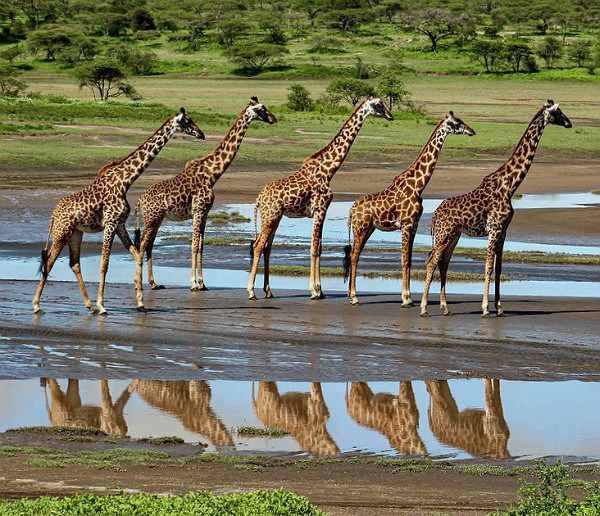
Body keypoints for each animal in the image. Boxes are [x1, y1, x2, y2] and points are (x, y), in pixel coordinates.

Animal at [32, 109, 206, 314]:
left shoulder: (120, 224)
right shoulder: (110, 223)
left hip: (76, 233)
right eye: (187, 121)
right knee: (49, 261)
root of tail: (54, 214)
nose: (201, 134)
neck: (125, 181)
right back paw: (37, 305)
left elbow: (137, 255)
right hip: (61, 232)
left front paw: (140, 302)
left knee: (74, 263)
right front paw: (102, 305)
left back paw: (89, 305)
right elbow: (104, 264)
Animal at [134, 99, 276, 308]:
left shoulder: (206, 213)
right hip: (151, 218)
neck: (212, 174)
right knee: (143, 244)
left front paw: (202, 283)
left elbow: (201, 245)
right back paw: (140, 283)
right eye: (261, 109)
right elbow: (194, 245)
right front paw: (193, 283)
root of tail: (139, 200)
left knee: (149, 244)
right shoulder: (199, 210)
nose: (274, 118)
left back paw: (153, 283)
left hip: (158, 219)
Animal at [246, 97, 392, 300]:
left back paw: (268, 290)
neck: (328, 170)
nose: (391, 116)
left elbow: (320, 248)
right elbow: (314, 248)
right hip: (270, 216)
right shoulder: (320, 209)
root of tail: (258, 199)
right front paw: (314, 291)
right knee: (259, 245)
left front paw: (320, 290)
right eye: (378, 105)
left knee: (267, 246)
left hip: (275, 217)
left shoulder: (322, 211)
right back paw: (251, 291)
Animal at [344, 112, 476, 306]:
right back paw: (354, 297)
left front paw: (408, 296)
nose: (472, 131)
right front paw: (406, 299)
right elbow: (404, 260)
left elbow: (410, 260)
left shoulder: (414, 225)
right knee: (354, 255)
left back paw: (350, 294)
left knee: (356, 254)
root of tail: (352, 210)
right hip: (360, 227)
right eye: (455, 123)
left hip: (368, 228)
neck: (418, 186)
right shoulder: (406, 224)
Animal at [422, 100, 572, 318]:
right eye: (558, 112)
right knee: (432, 261)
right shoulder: (494, 229)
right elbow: (488, 267)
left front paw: (500, 308)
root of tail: (434, 216)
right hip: (443, 234)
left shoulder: (504, 231)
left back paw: (446, 308)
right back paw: (424, 308)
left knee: (443, 262)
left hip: (453, 235)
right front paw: (485, 308)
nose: (569, 123)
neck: (510, 185)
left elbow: (499, 268)